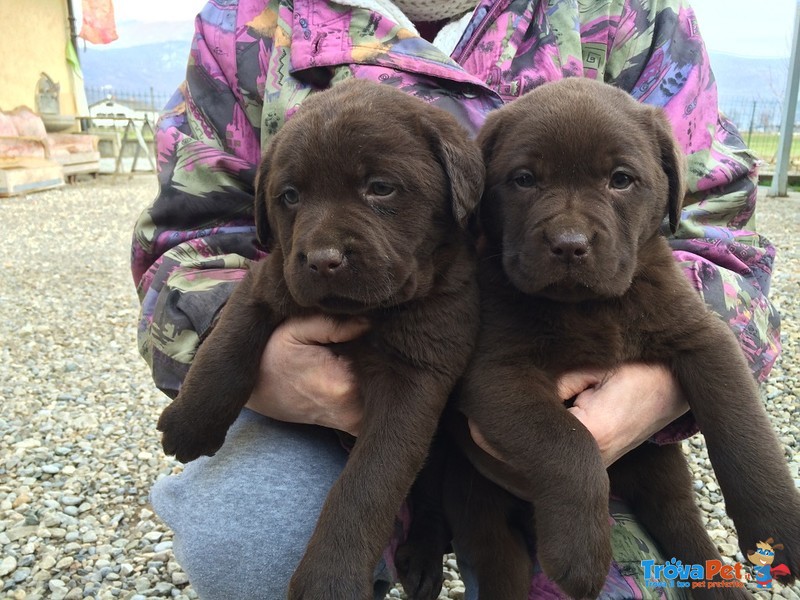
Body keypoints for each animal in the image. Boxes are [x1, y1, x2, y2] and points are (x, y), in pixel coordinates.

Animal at [155, 79, 482, 600]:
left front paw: (330, 577)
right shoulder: (268, 282)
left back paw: (423, 558)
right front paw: (191, 422)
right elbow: (225, 347)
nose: (323, 259)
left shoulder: (417, 376)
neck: (370, 311)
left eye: (381, 187)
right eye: (289, 196)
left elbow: (368, 483)